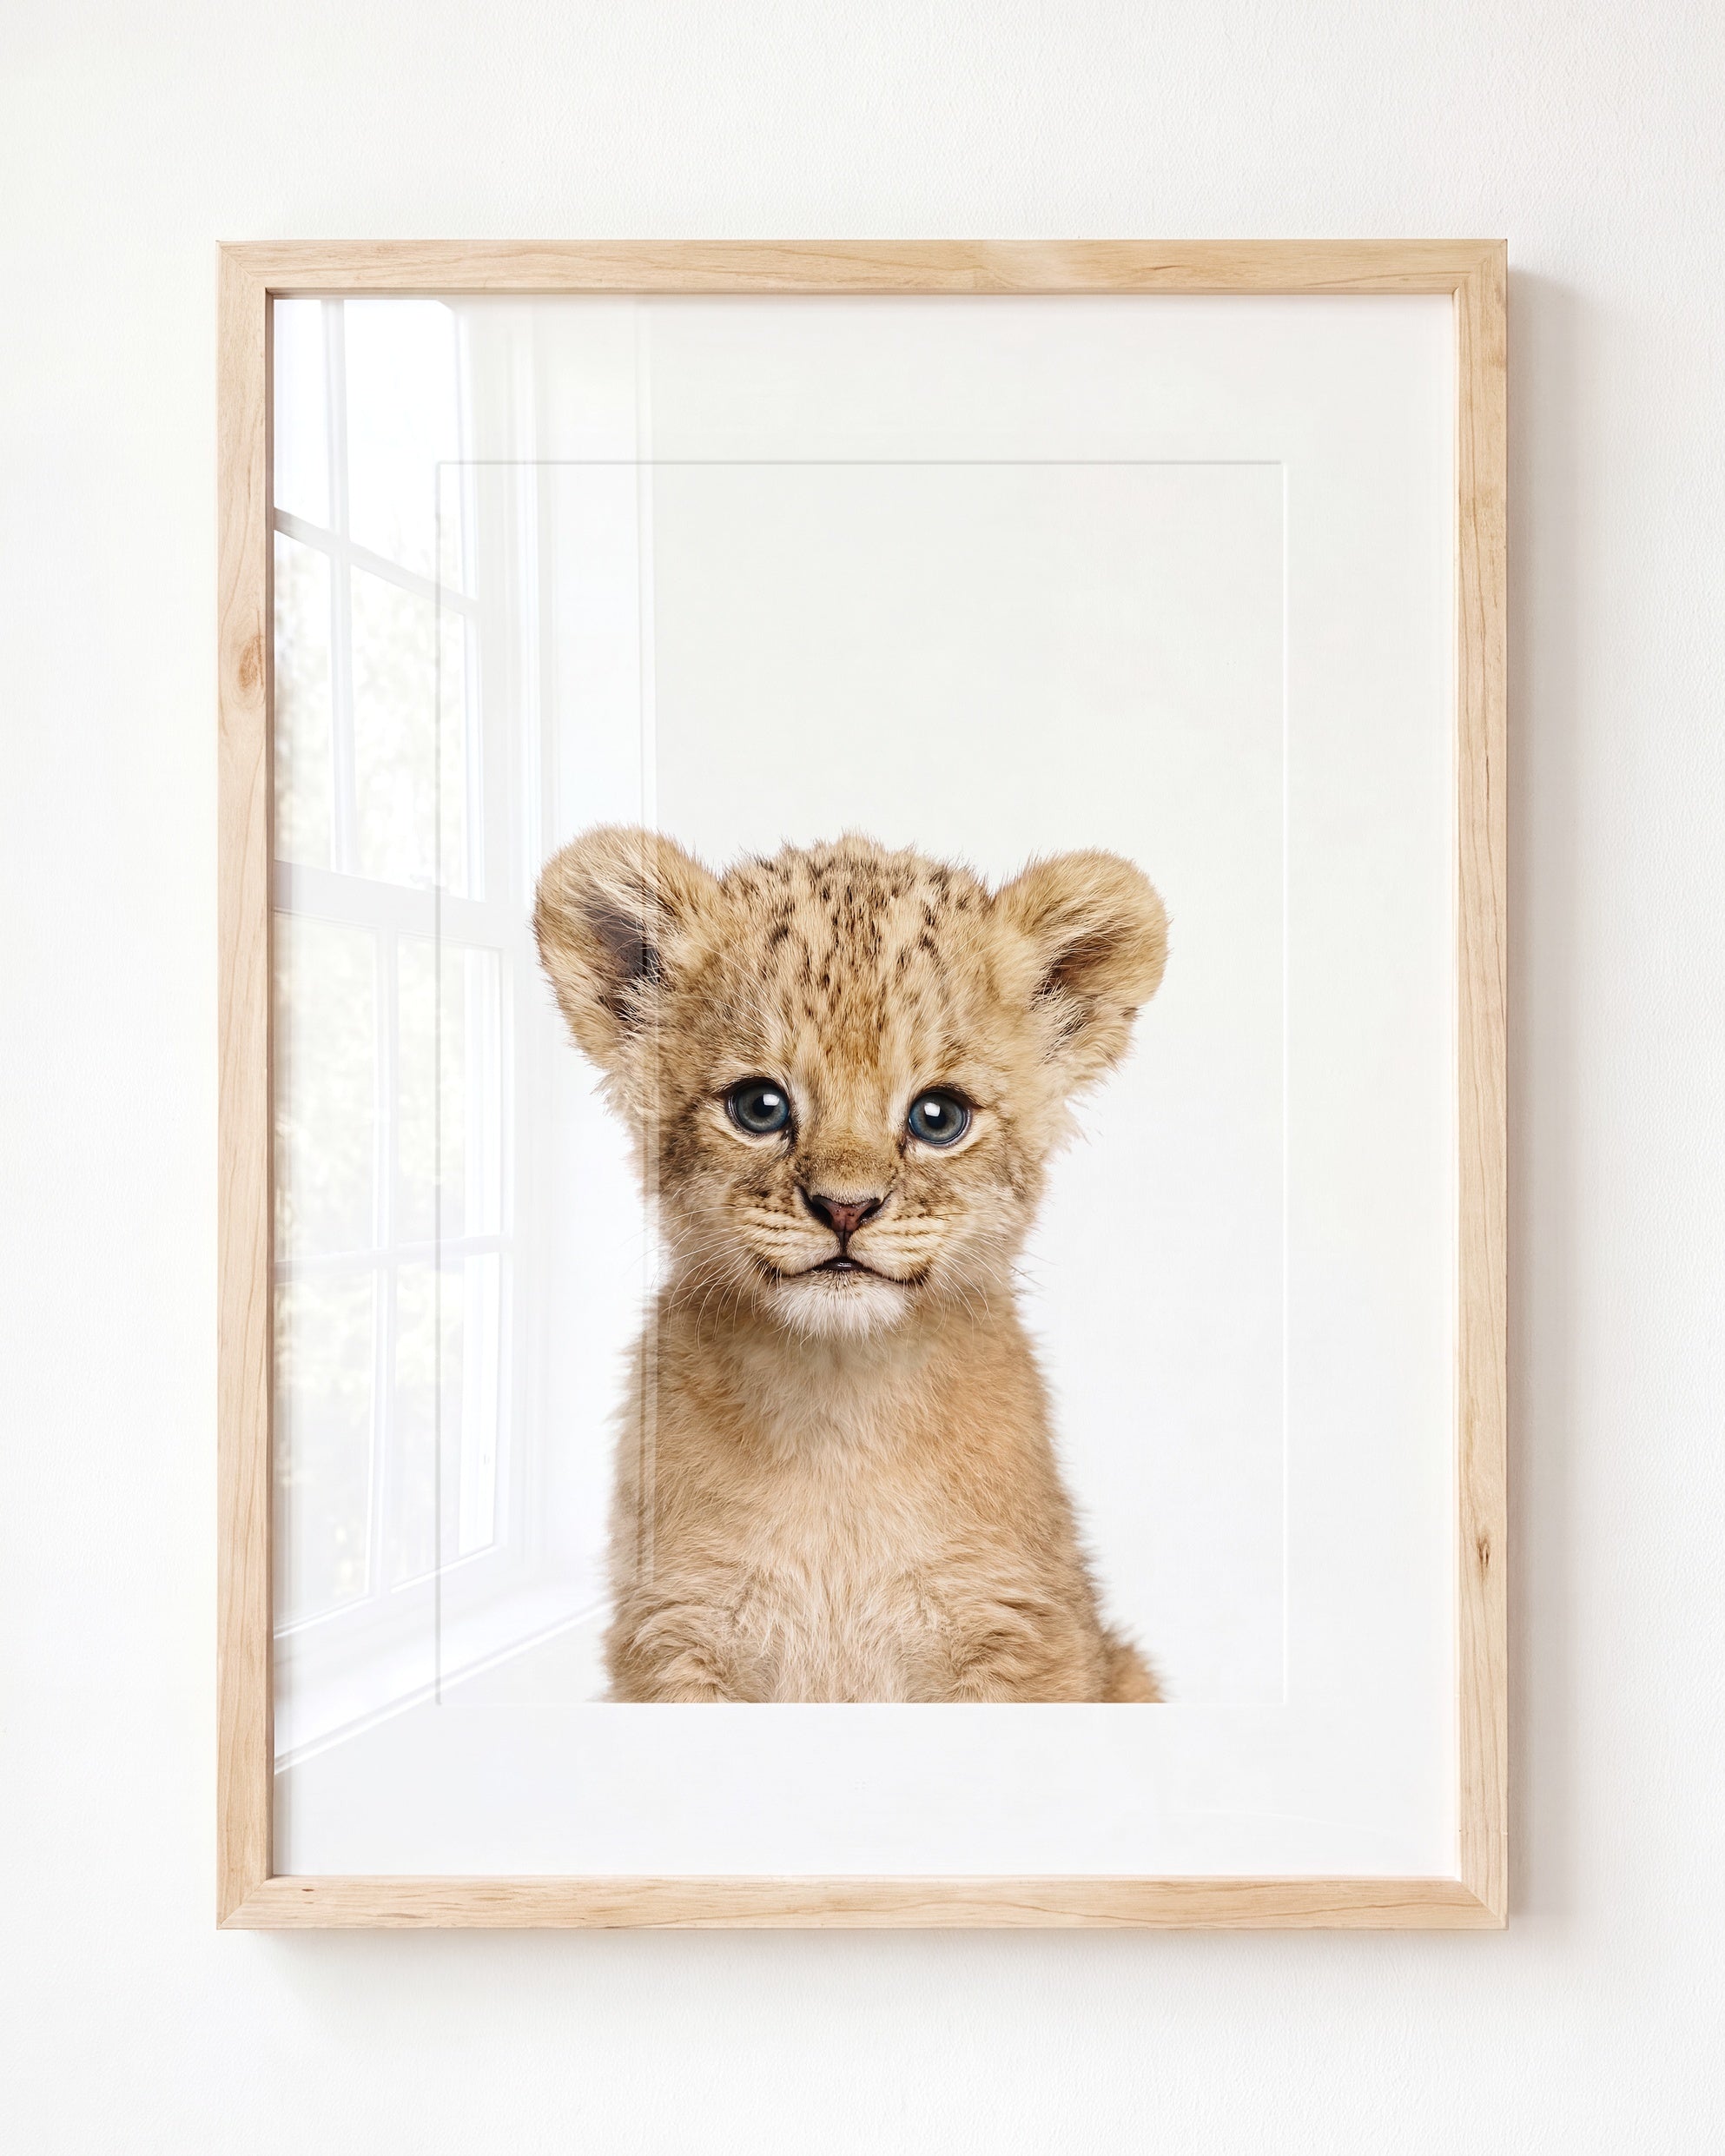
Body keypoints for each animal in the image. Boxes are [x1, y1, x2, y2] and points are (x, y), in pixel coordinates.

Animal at [534, 828, 1168, 1702]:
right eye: (760, 1107)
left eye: (938, 1117)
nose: (845, 1208)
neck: (838, 1412)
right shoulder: (676, 1632)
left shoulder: (1020, 1631)